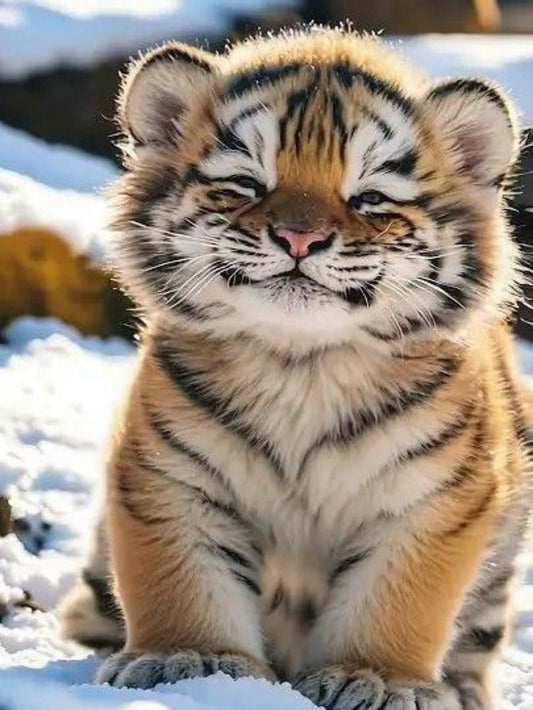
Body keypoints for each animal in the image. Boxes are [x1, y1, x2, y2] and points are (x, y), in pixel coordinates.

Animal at [59, 26, 531, 710]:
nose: (299, 239)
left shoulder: (433, 497)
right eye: (247, 184)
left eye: (370, 198)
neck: (301, 364)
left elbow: (396, 602)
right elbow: (182, 580)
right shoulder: (171, 478)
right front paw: (188, 658)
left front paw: (373, 677)